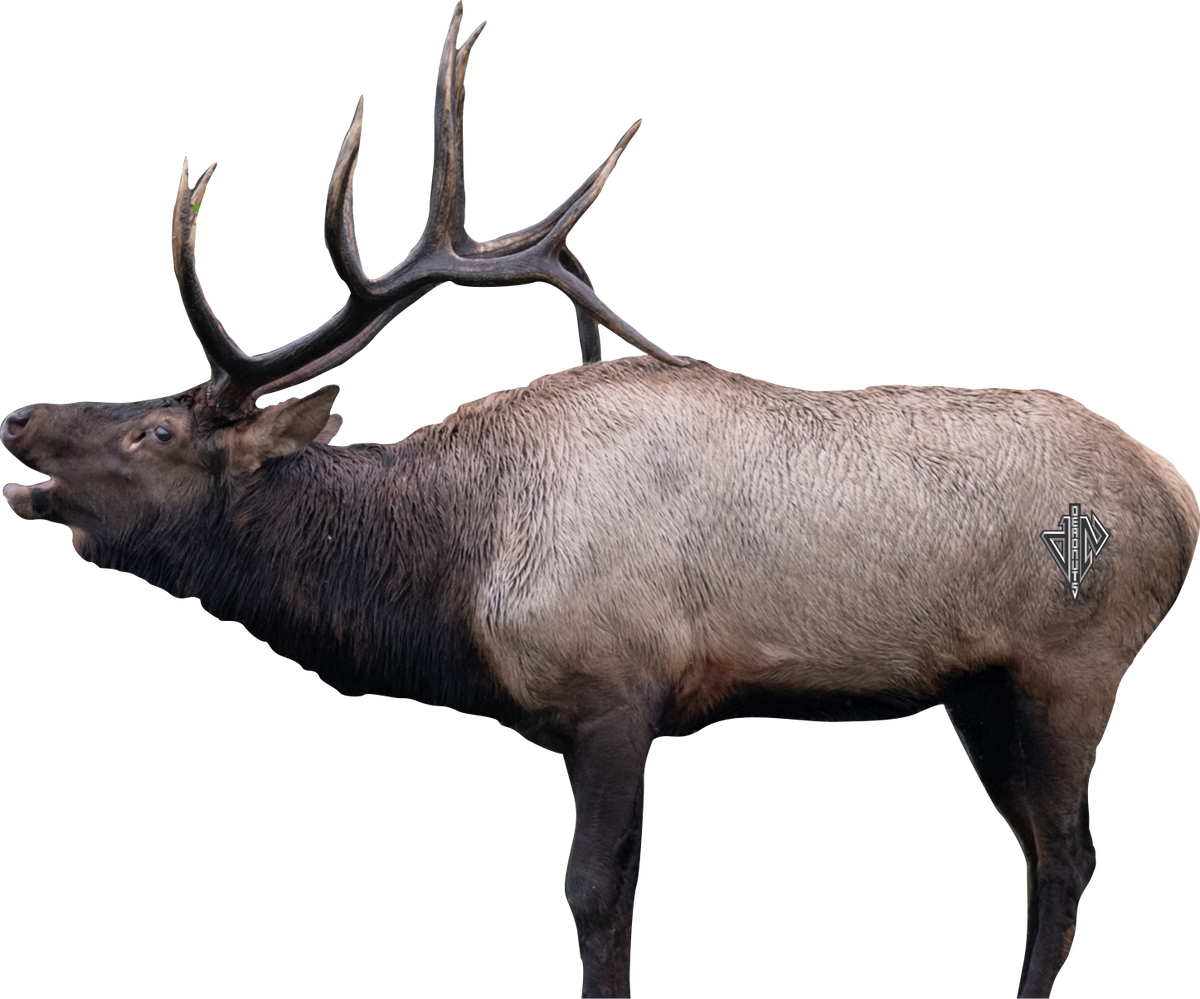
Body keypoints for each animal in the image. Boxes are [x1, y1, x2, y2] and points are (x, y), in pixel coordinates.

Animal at [2, 4, 1196, 997]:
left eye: (157, 432)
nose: (16, 418)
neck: (458, 573)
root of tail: (1181, 492)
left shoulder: (617, 691)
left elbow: (593, 899)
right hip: (978, 688)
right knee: (1034, 850)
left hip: (1073, 666)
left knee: (1072, 855)